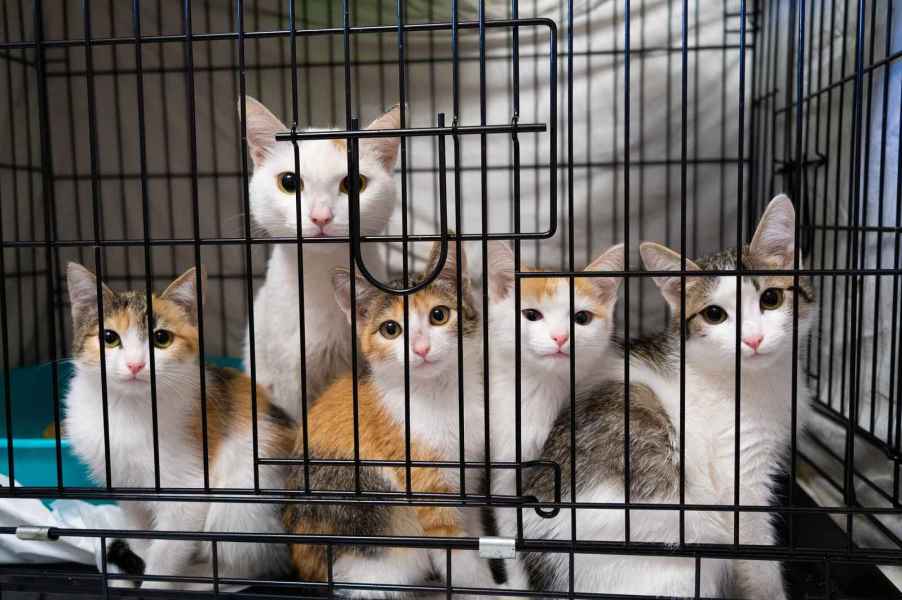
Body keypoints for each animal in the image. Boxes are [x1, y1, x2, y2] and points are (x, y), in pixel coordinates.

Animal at [64, 264, 296, 592]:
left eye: (161, 338)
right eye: (109, 337)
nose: (135, 365)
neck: (128, 408)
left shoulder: (187, 491)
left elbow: (167, 550)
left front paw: (153, 587)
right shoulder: (127, 487)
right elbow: (143, 537)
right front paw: (140, 562)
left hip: (243, 502)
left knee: (253, 564)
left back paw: (200, 578)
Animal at [282, 241, 498, 596]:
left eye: (439, 315)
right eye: (391, 329)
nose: (421, 348)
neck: (440, 393)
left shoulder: (470, 475)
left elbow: (474, 529)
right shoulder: (425, 481)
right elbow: (459, 554)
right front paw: (485, 590)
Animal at [516, 195, 820, 596]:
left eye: (771, 298)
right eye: (714, 314)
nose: (753, 339)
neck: (756, 380)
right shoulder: (739, 476)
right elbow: (758, 558)